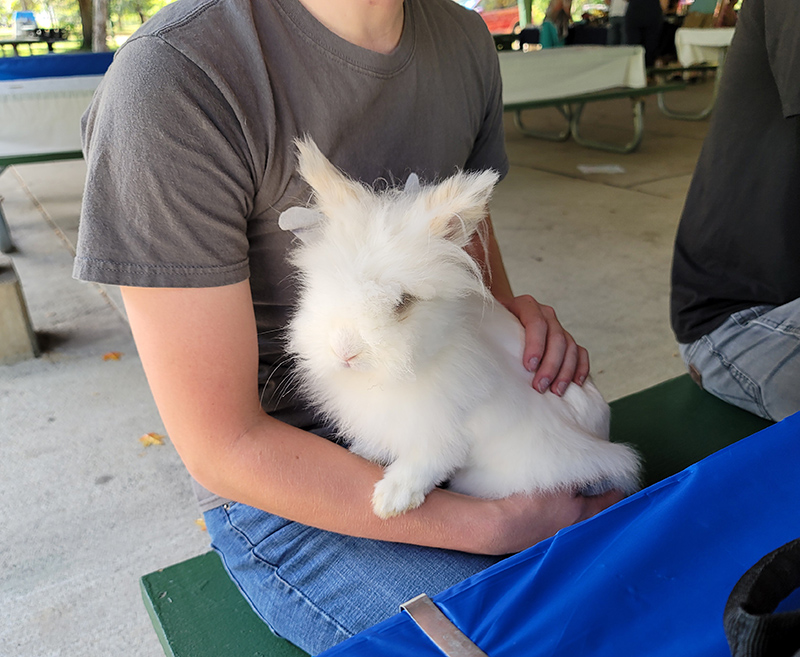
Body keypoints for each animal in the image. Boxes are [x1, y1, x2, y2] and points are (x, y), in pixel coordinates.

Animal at [282, 138, 644, 516]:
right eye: (320, 286)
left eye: (403, 302)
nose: (345, 352)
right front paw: (364, 454)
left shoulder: (444, 431)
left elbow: (427, 462)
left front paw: (390, 501)